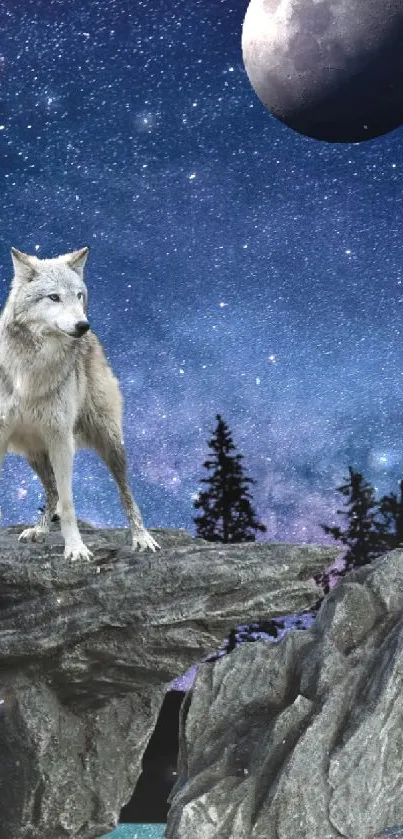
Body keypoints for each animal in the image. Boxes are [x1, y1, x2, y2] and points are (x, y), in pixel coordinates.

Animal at [0, 249, 161, 564]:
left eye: (78, 295)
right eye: (53, 297)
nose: (83, 326)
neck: (31, 370)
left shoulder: (61, 440)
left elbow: (69, 503)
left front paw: (75, 548)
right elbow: (58, 497)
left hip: (109, 441)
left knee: (125, 493)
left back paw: (141, 537)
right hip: (35, 452)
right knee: (51, 492)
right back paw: (39, 530)